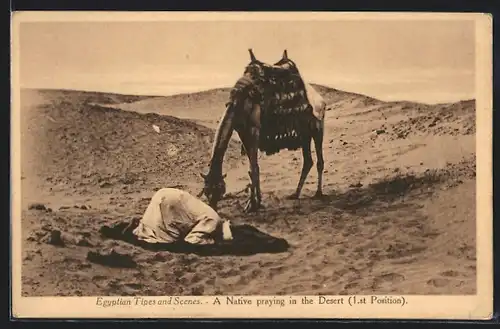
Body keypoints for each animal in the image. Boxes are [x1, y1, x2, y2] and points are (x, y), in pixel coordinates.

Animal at [199, 49, 328, 213]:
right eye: (206, 191)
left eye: (219, 190)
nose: (212, 207)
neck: (239, 102)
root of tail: (319, 98)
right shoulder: (242, 132)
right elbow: (253, 169)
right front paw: (256, 202)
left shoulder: (254, 130)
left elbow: (253, 168)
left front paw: (252, 204)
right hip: (305, 134)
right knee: (308, 161)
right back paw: (295, 194)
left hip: (318, 128)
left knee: (319, 161)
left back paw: (318, 193)